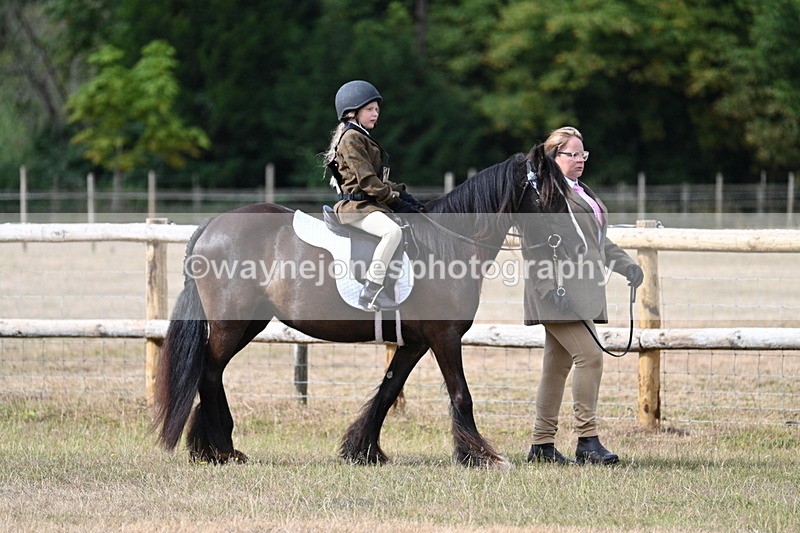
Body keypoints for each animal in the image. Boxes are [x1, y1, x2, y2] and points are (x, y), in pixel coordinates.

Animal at [153, 145, 571, 467]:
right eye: (552, 196)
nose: (568, 242)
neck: (449, 244)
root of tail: (211, 225)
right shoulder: (445, 336)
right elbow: (460, 394)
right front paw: (482, 455)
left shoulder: (415, 343)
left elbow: (388, 390)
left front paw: (363, 450)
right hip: (230, 324)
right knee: (209, 373)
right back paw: (219, 450)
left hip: (247, 324)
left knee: (213, 372)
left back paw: (213, 448)